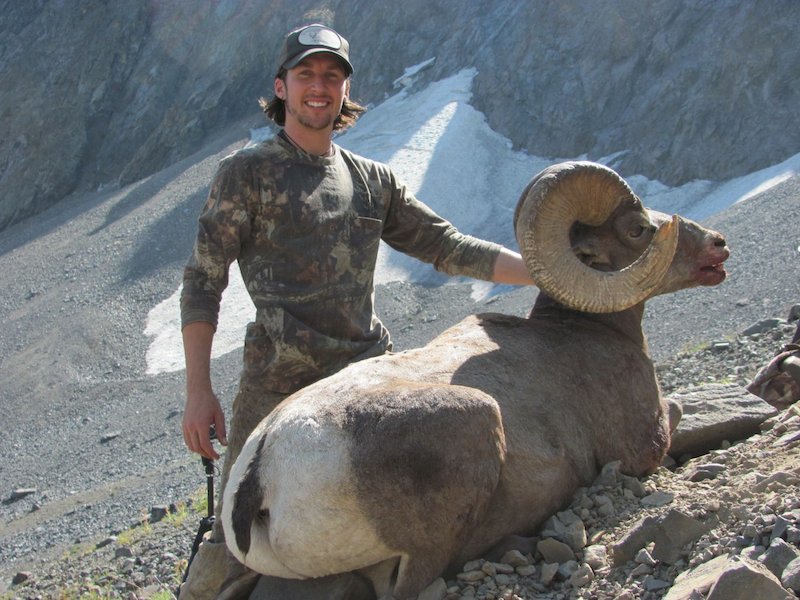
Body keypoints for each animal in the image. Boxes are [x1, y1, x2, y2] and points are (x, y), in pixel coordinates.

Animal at [220, 161, 730, 600]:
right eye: (637, 229)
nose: (719, 244)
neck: (586, 331)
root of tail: (266, 463)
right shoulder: (644, 445)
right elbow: (677, 412)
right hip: (477, 424)